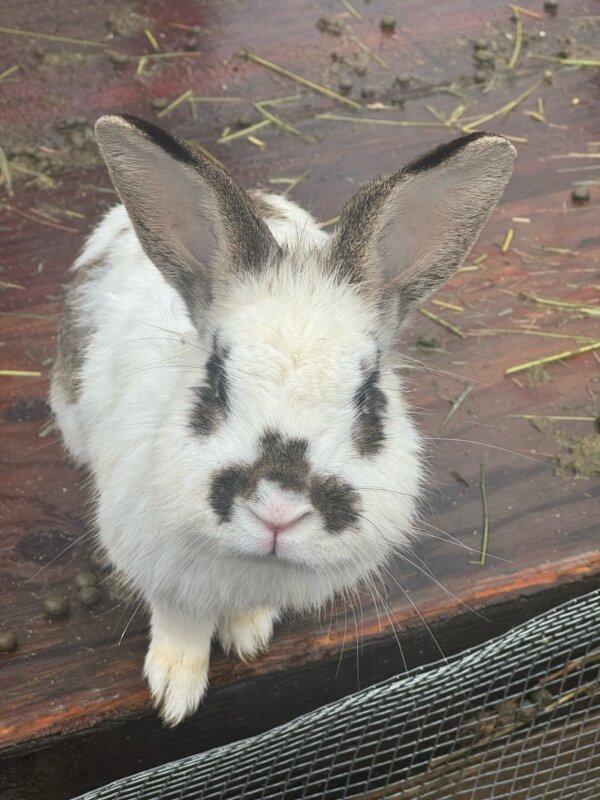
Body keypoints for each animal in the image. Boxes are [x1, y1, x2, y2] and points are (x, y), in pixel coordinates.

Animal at [50, 115, 516, 728]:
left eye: (369, 395)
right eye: (215, 380)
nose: (278, 512)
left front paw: (247, 637)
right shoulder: (160, 569)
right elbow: (180, 620)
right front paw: (174, 691)